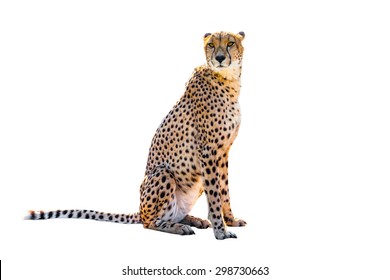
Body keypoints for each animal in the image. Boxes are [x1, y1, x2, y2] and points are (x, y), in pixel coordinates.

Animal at [25, 31, 247, 241]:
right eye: (211, 45)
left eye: (230, 43)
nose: (219, 57)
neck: (228, 80)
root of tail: (140, 210)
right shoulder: (208, 152)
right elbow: (215, 195)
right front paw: (221, 231)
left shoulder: (222, 153)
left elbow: (224, 191)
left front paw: (231, 221)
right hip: (163, 173)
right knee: (149, 222)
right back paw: (179, 227)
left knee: (171, 214)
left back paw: (192, 220)